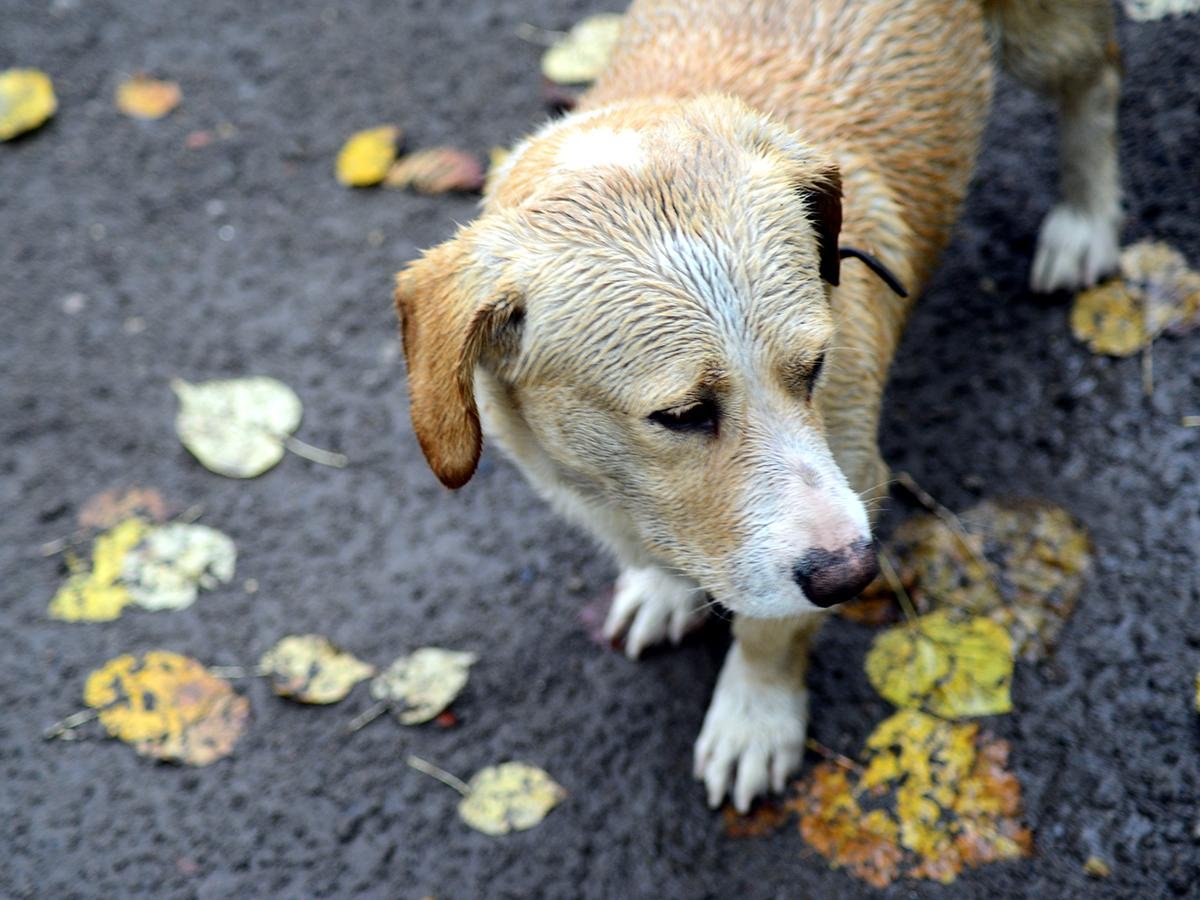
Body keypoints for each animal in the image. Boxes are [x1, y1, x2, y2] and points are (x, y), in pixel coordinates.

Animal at [396, 0, 1123, 816]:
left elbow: (774, 630)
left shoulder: (856, 478)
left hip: (1044, 42)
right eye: (683, 415)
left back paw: (1086, 219)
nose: (855, 576)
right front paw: (662, 587)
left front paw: (754, 715)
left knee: (1099, 77)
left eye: (814, 368)